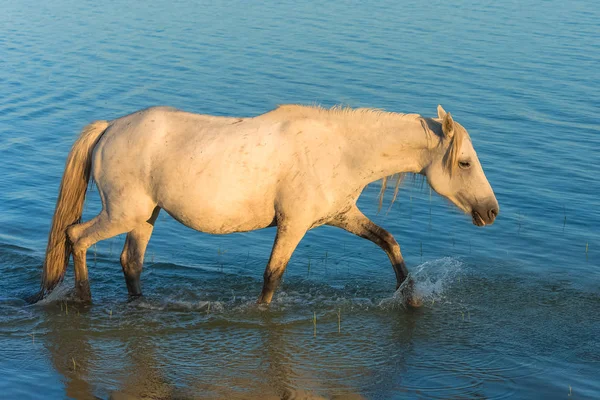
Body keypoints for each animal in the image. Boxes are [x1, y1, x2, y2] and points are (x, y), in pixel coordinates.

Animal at [36, 104, 496, 304]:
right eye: (465, 162)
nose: (491, 211)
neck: (341, 148)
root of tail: (109, 127)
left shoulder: (342, 215)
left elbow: (389, 242)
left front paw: (411, 297)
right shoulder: (294, 224)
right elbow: (272, 277)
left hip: (145, 217)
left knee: (130, 262)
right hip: (123, 213)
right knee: (76, 236)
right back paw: (85, 300)